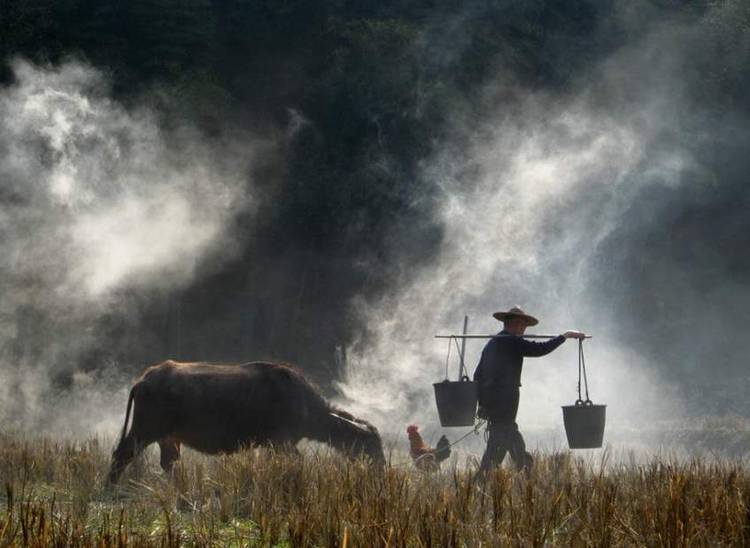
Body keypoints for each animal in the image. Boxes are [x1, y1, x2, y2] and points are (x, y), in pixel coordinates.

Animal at [106, 360, 384, 484]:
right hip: (144, 431)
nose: (381, 469)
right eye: (371, 444)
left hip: (168, 438)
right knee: (122, 454)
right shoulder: (283, 442)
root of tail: (144, 380)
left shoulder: (275, 445)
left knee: (168, 463)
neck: (304, 403)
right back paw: (110, 488)